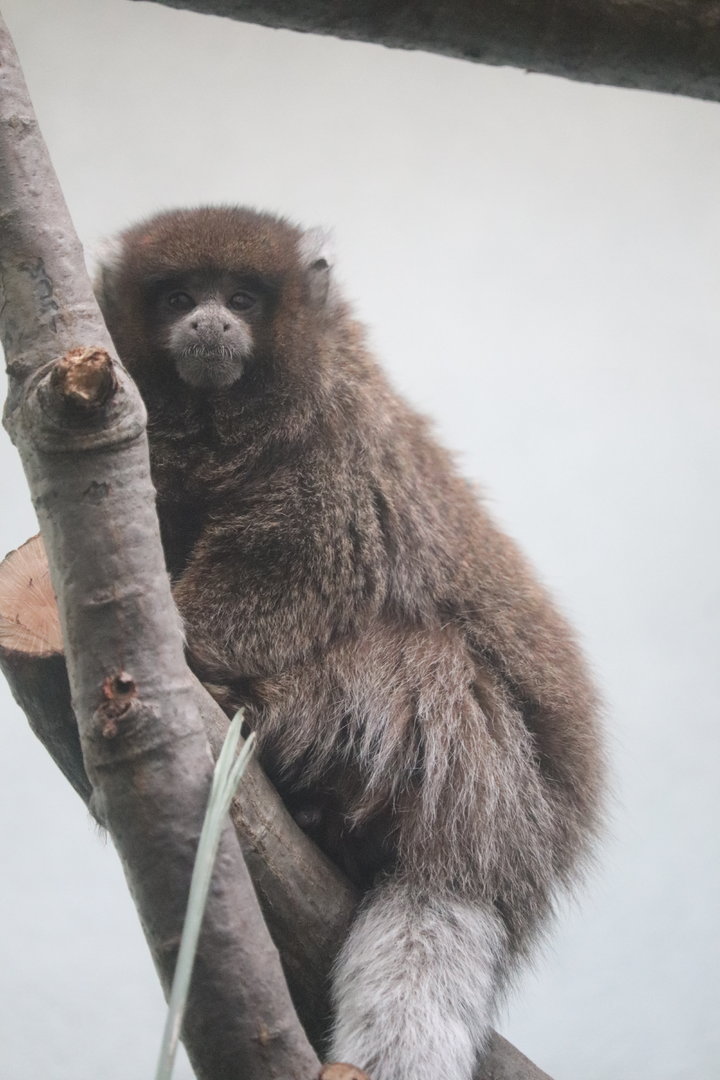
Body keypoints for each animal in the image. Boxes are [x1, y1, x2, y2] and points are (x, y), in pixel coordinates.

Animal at [95, 206, 604, 1080]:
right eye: (178, 297)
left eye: (241, 297)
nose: (209, 322)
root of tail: (512, 850)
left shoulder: (332, 448)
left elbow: (301, 564)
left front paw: (188, 651)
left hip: (473, 759)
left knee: (435, 665)